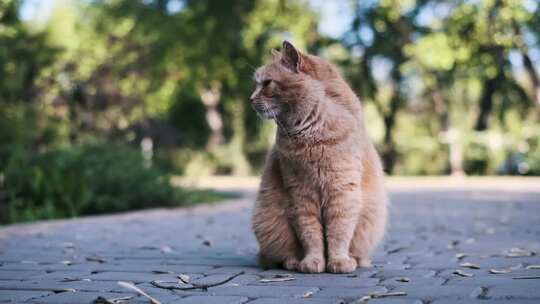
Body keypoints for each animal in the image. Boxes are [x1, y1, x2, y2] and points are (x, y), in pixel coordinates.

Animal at [250, 41, 388, 274]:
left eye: (267, 83)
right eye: (257, 84)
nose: (250, 99)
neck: (313, 134)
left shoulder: (341, 191)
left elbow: (339, 233)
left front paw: (338, 262)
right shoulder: (301, 194)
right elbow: (311, 235)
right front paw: (312, 262)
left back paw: (355, 260)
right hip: (269, 218)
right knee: (282, 256)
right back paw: (294, 262)